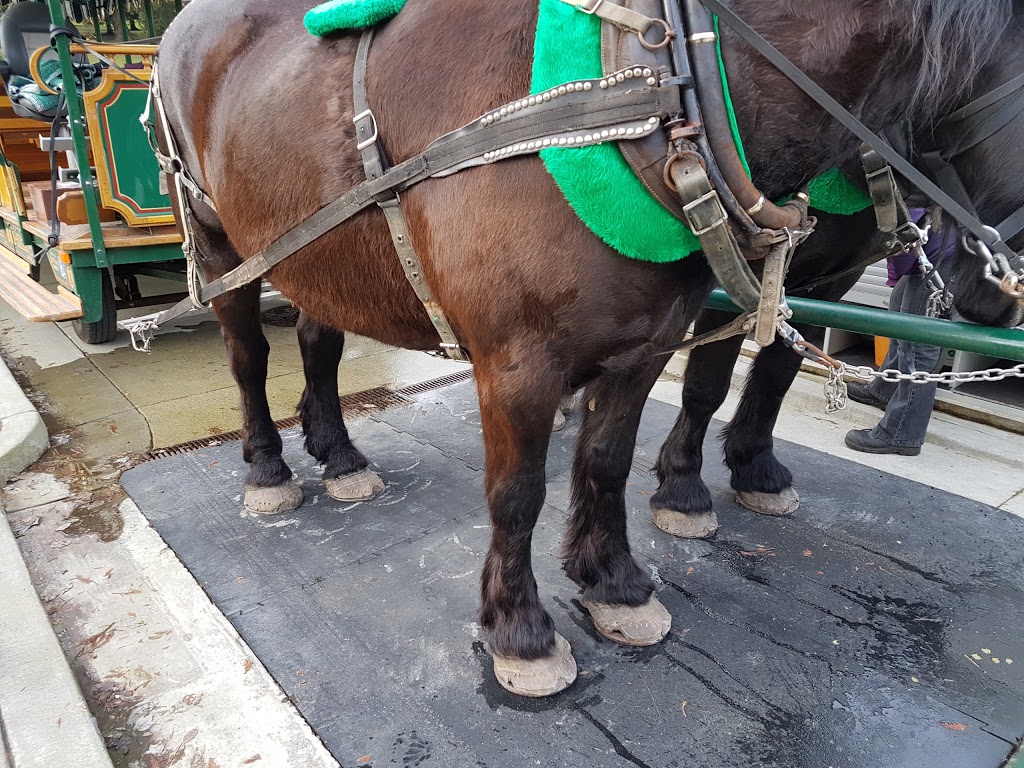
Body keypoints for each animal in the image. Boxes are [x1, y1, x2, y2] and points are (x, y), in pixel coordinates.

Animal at [157, 0, 1024, 696]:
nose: (995, 295)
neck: (653, 87)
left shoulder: (653, 342)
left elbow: (613, 458)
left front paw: (615, 582)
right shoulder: (517, 363)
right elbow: (518, 494)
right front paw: (520, 630)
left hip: (319, 252)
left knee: (319, 341)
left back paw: (339, 456)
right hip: (223, 245)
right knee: (249, 359)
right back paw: (269, 469)